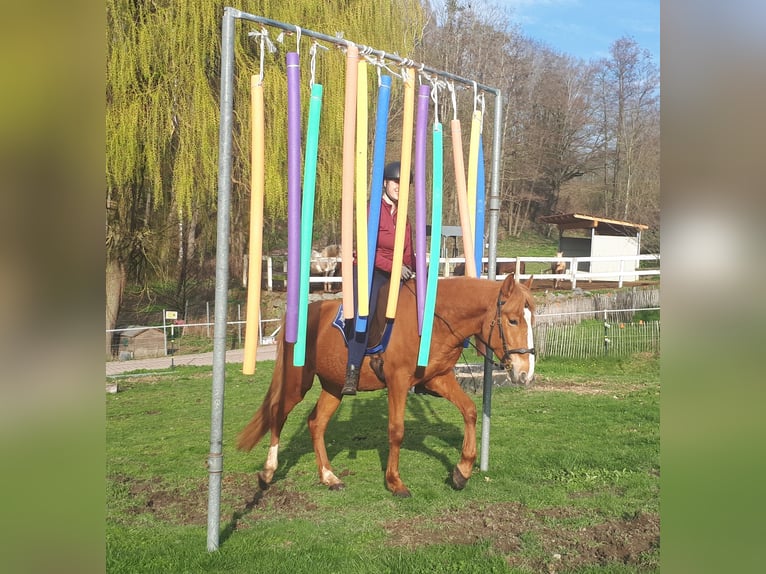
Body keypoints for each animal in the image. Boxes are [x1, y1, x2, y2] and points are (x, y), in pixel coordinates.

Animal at [237, 276, 536, 498]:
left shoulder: (438, 378)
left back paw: (329, 477)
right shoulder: (398, 381)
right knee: (277, 414)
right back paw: (268, 472)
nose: (526, 373)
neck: (431, 320)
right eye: (512, 320)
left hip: (333, 387)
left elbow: (470, 411)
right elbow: (396, 430)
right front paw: (394, 482)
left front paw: (462, 471)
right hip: (296, 382)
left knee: (316, 423)